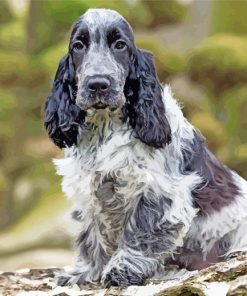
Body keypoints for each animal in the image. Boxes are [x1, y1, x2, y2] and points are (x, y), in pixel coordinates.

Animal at [43, 8, 247, 286]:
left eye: (120, 45)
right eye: (78, 46)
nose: (98, 84)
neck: (105, 127)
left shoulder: (157, 190)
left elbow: (141, 231)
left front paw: (122, 270)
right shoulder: (91, 190)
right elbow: (91, 236)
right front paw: (84, 273)